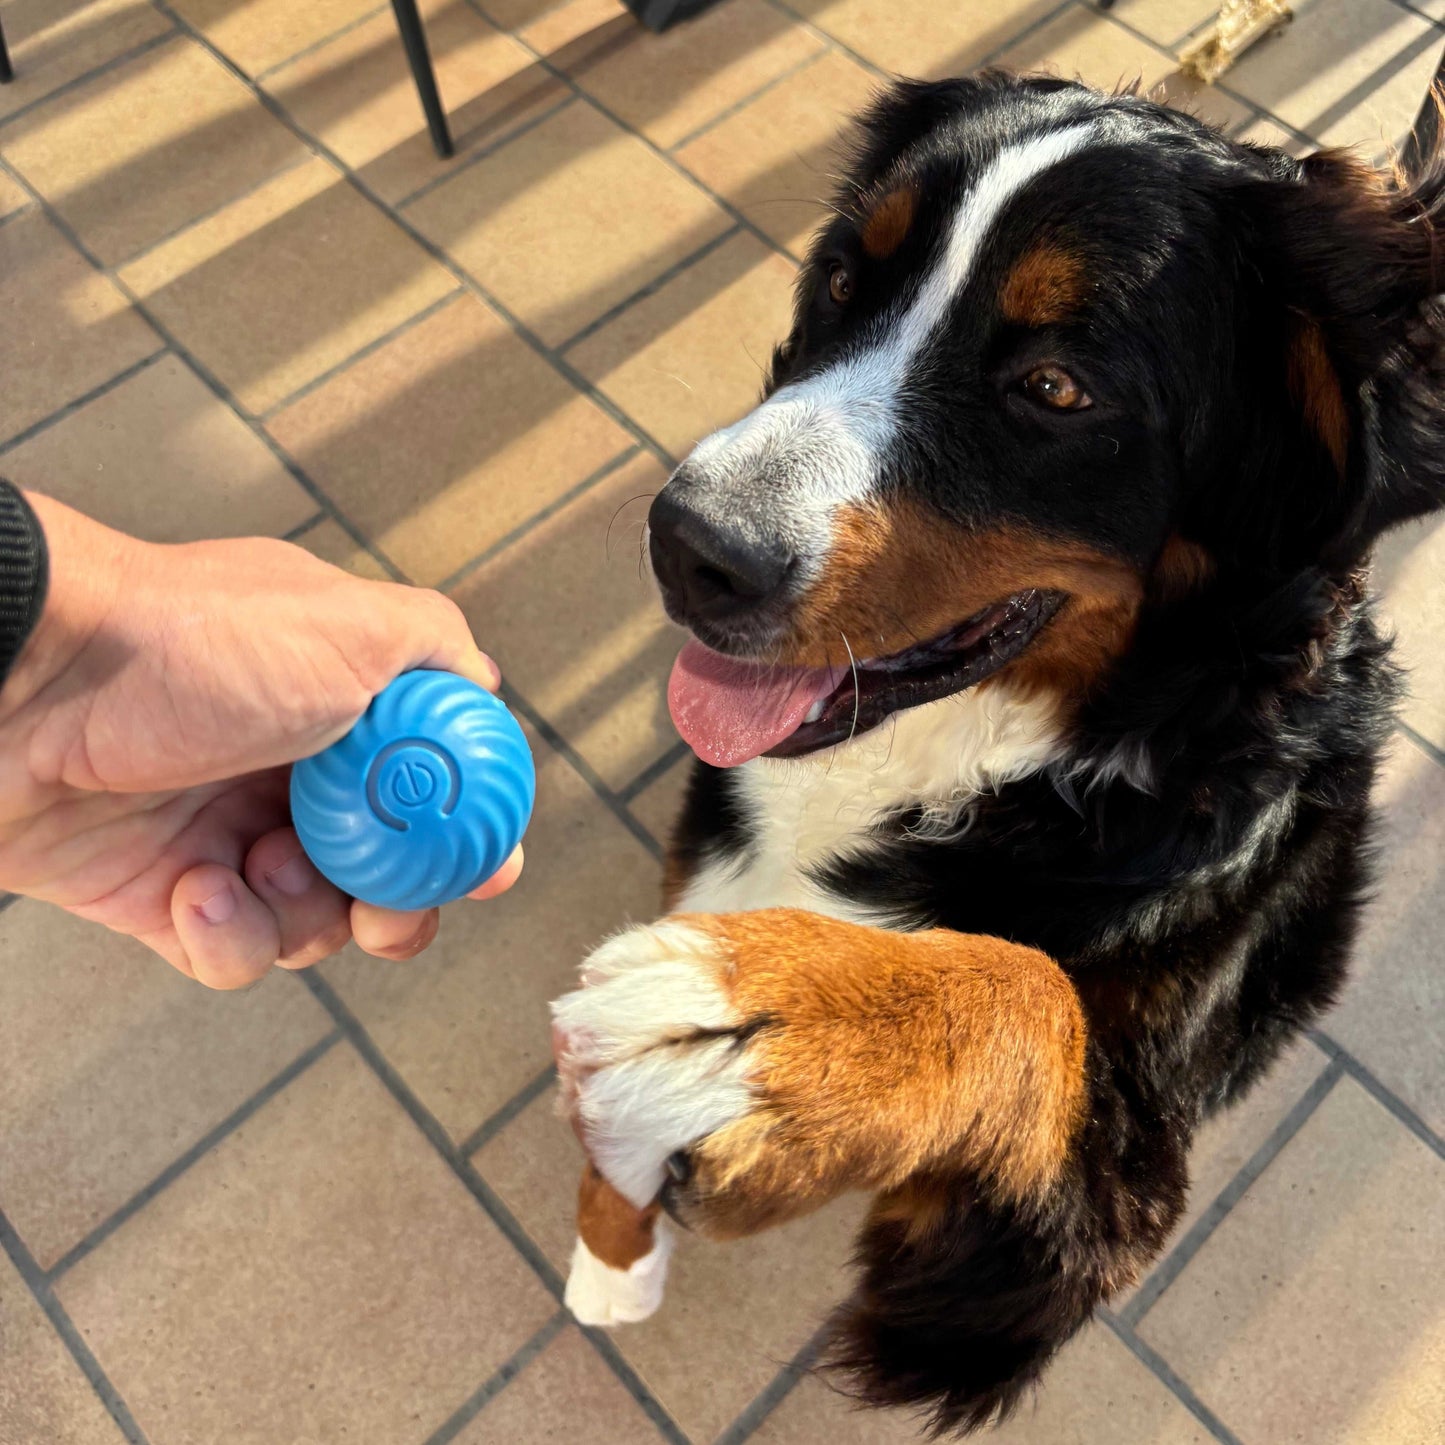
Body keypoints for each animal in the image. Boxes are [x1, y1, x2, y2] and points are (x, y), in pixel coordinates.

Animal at [549, 76, 1445, 1433]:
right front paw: (613, 1242)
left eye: (1057, 389)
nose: (689, 544)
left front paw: (774, 1013)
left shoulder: (1048, 1242)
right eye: (840, 278)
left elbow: (1024, 998)